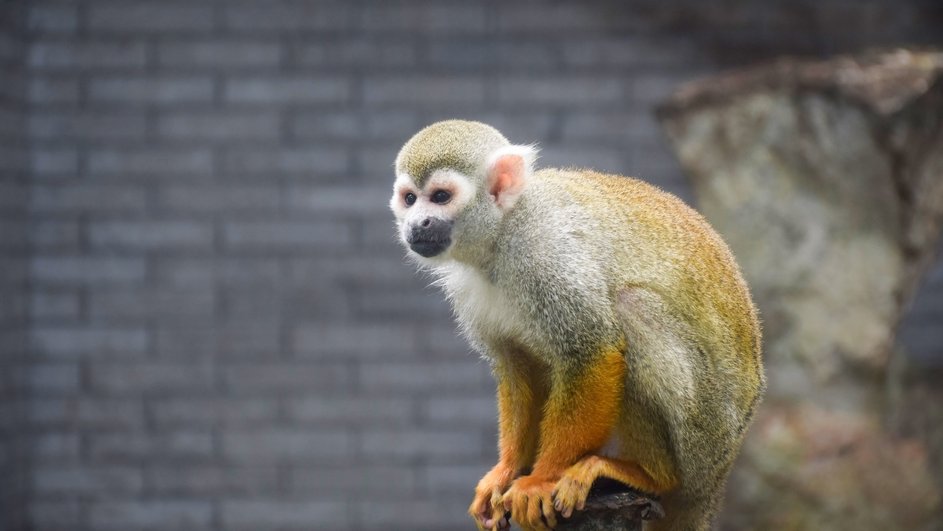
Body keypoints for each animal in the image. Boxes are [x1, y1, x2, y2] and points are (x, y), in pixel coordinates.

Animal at [389, 120, 764, 531]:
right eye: (410, 199)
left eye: (440, 196)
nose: (417, 223)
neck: (502, 232)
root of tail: (718, 477)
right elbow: (516, 365)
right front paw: (506, 471)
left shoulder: (546, 253)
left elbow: (592, 351)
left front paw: (539, 480)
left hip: (703, 435)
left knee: (632, 308)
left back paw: (647, 475)